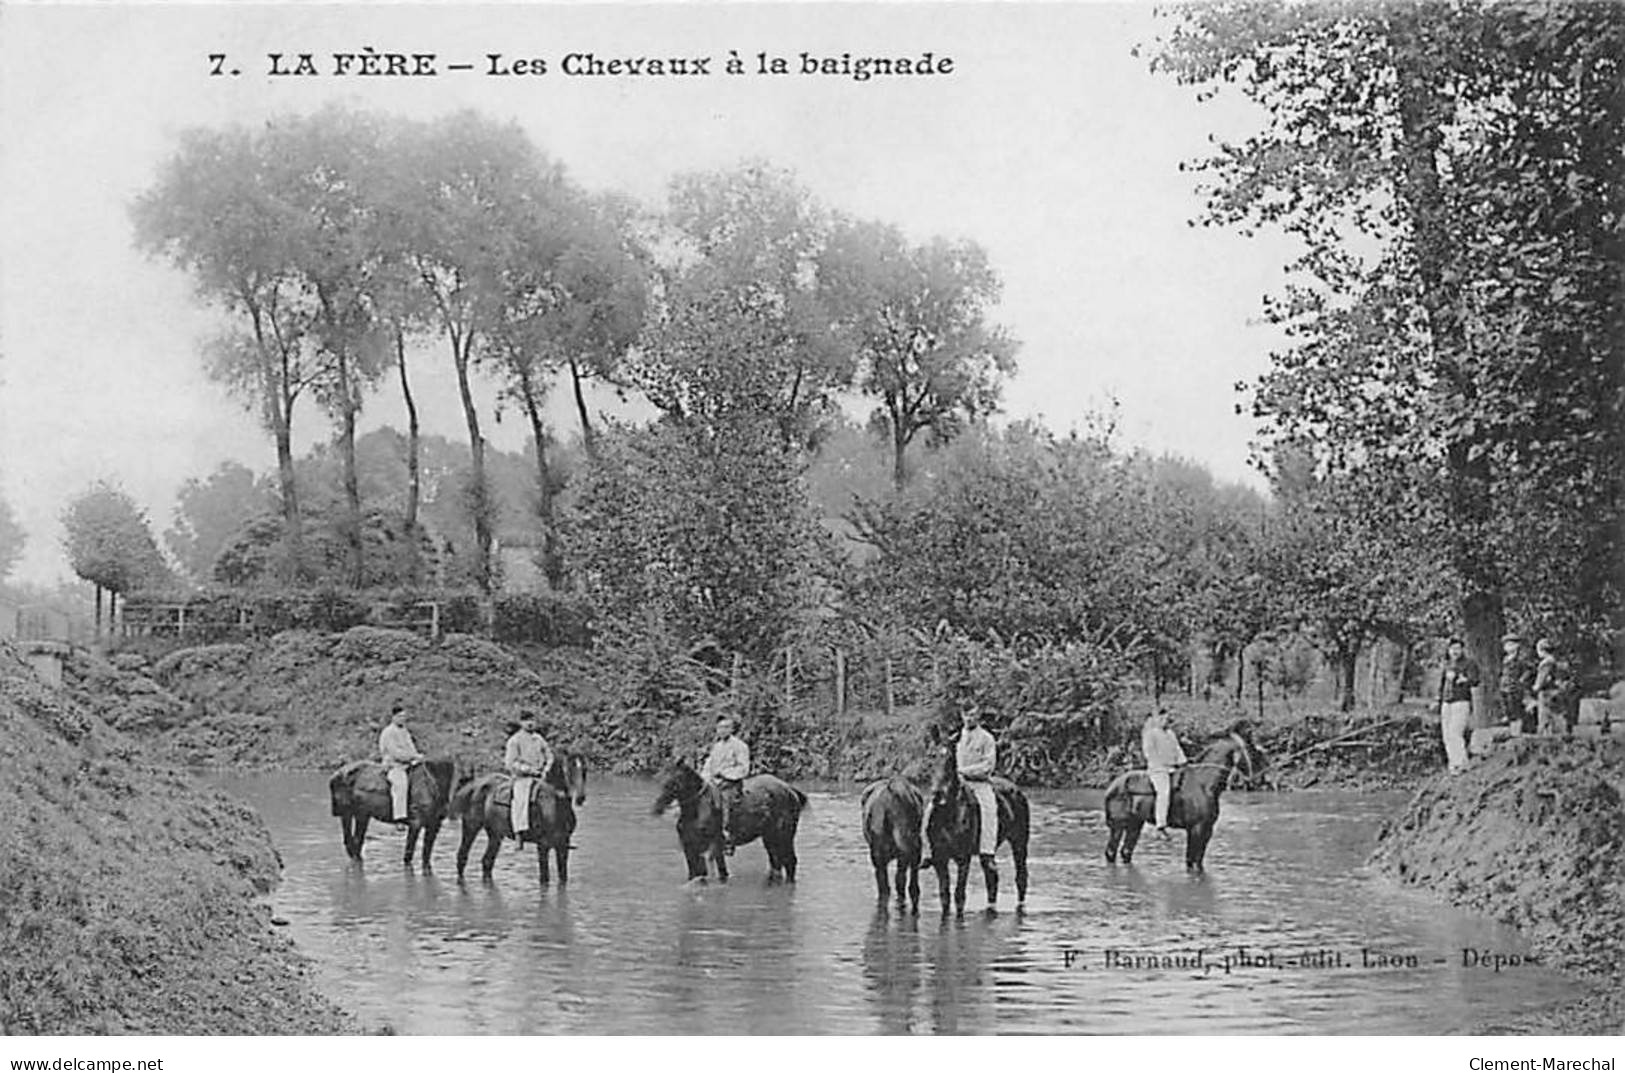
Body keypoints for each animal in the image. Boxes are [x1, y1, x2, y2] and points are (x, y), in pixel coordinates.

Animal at [328, 757, 461, 864]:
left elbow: (426, 857)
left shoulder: (434, 826)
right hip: (346, 814)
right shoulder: (415, 824)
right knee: (350, 841)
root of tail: (337, 773)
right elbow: (408, 855)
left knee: (356, 843)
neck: (433, 783)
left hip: (362, 816)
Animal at [451, 751, 591, 884]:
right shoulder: (543, 846)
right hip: (471, 827)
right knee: (462, 857)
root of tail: (474, 786)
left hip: (495, 835)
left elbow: (563, 878)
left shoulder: (562, 846)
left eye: (585, 769)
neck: (554, 804)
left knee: (487, 862)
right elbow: (544, 878)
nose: (580, 797)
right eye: (568, 769)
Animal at [650, 757, 809, 884]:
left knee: (790, 861)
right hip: (770, 838)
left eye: (673, 781)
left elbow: (718, 874)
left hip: (785, 836)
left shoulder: (713, 847)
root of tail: (790, 790)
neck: (697, 809)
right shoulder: (689, 848)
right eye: (659, 778)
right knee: (776, 863)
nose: (657, 808)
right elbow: (695, 875)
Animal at [1098, 721, 1261, 871]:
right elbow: (1191, 861)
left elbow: (1197, 862)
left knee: (1126, 851)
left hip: (1135, 824)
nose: (1255, 777)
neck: (1204, 783)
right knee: (1111, 852)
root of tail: (1112, 786)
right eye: (1249, 749)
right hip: (1118, 826)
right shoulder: (1195, 829)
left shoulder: (1207, 830)